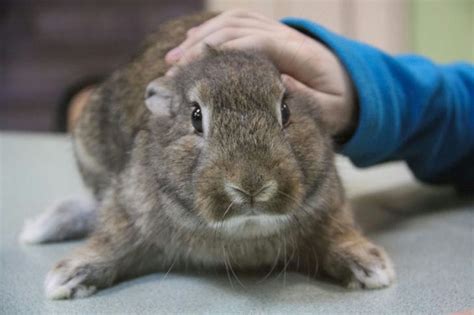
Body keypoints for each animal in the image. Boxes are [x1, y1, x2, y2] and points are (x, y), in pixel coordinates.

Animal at [20, 11, 394, 298]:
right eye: (196, 117)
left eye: (286, 110)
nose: (252, 186)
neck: (244, 231)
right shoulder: (129, 209)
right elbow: (113, 238)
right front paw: (65, 278)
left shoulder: (328, 204)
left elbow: (338, 233)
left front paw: (373, 268)